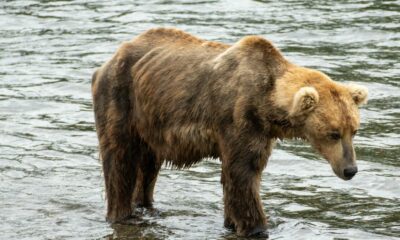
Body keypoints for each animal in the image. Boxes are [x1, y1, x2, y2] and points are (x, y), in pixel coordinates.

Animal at [91, 27, 368, 237]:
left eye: (353, 130)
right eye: (333, 133)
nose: (350, 170)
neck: (267, 103)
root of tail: (110, 58)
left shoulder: (262, 131)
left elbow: (239, 178)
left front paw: (232, 222)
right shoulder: (239, 118)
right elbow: (242, 175)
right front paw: (257, 227)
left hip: (149, 121)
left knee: (148, 166)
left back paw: (148, 208)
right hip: (121, 99)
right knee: (120, 161)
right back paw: (123, 215)